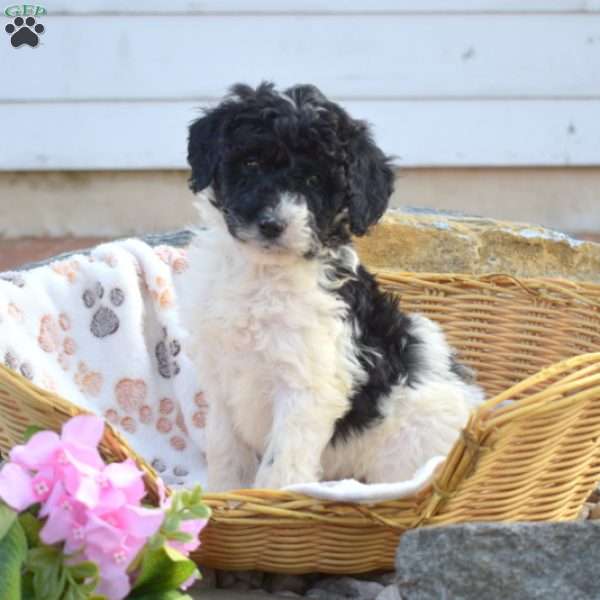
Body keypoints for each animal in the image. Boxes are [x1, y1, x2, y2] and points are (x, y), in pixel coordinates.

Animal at [180, 81, 486, 492]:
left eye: (314, 181)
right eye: (251, 163)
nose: (271, 224)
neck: (262, 273)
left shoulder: (307, 387)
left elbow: (279, 467)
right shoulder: (220, 379)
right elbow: (226, 455)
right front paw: (221, 497)